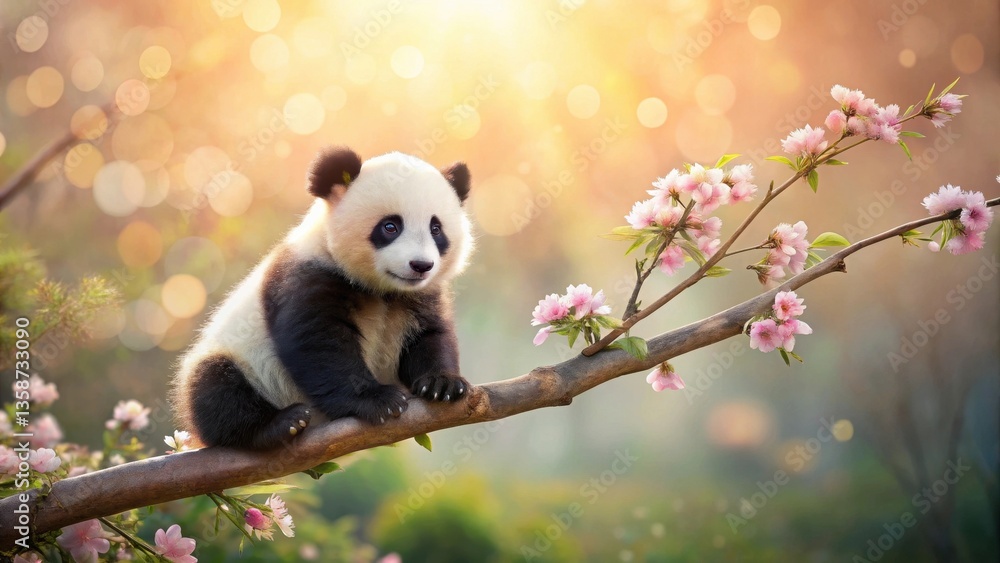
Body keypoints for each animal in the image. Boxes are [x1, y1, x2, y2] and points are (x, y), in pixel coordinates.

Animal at [171, 146, 473, 450]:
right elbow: (320, 343)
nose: (421, 265)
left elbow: (430, 335)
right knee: (215, 388)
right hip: (241, 359)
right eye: (390, 226)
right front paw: (377, 401)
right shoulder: (307, 275)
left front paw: (441, 384)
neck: (382, 290)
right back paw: (280, 424)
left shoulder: (419, 296)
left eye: (436, 229)